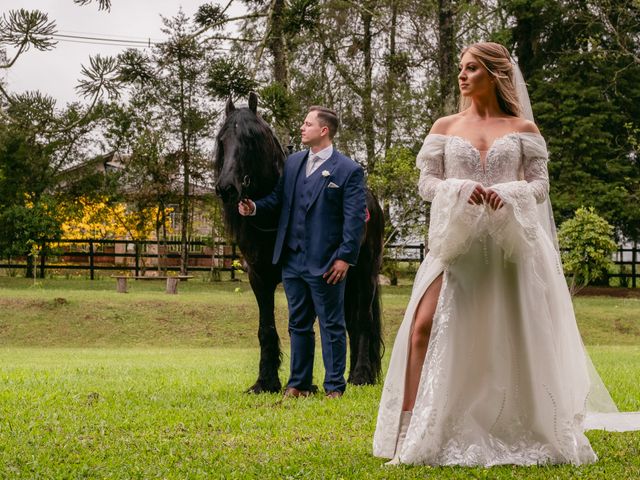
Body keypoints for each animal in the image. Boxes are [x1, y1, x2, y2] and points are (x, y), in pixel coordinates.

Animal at [215, 94, 384, 394]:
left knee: (362, 321)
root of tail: (371, 201)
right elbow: (267, 328)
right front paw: (266, 382)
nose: (227, 188)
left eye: (250, 139)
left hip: (364, 275)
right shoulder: (259, 278)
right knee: (351, 323)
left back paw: (360, 375)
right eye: (223, 140)